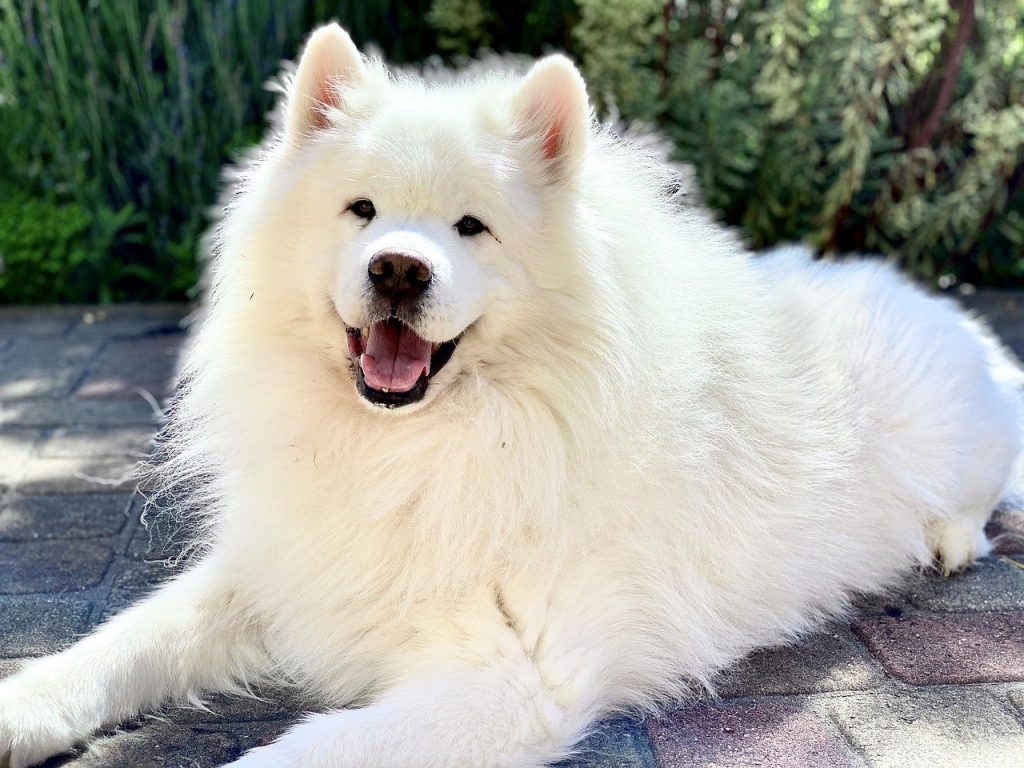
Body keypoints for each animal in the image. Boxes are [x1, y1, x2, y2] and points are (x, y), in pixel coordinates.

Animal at [2, 24, 1024, 768]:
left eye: (471, 227)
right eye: (362, 211)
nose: (399, 269)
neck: (417, 446)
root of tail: (943, 309)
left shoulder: (511, 681)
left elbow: (281, 759)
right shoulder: (280, 571)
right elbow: (127, 641)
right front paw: (23, 709)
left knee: (984, 497)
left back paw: (947, 539)